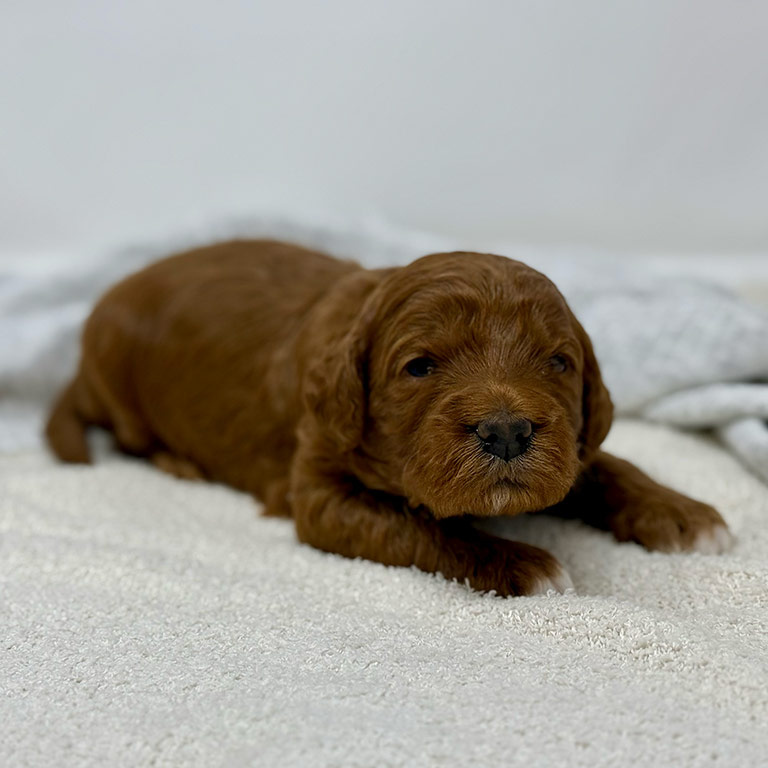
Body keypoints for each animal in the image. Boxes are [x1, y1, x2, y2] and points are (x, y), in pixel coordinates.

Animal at [45, 240, 728, 592]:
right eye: (419, 367)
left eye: (559, 362)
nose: (507, 430)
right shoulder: (318, 487)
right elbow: (417, 524)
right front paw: (521, 563)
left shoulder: (571, 442)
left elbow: (604, 463)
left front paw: (682, 514)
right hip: (119, 387)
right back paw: (178, 462)